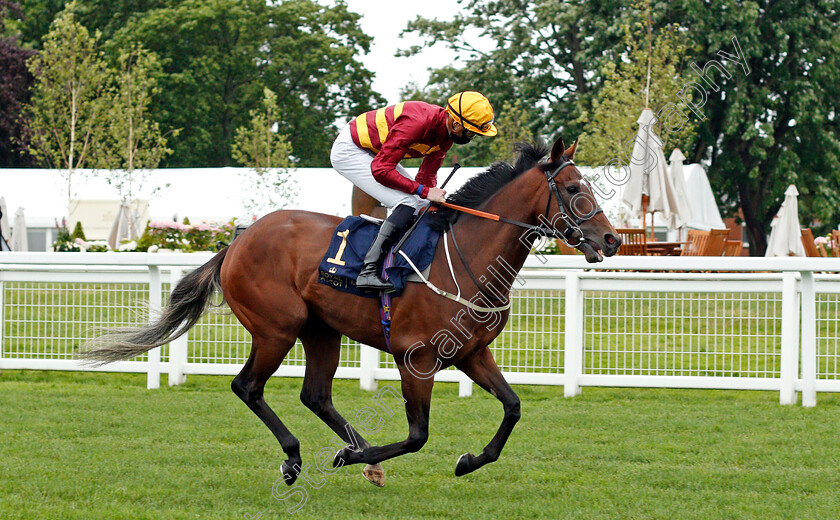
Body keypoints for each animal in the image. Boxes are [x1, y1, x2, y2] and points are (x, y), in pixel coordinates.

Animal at [82, 137, 620, 488]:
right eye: (575, 189)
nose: (612, 239)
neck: (466, 254)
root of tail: (237, 241)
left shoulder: (472, 354)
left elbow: (513, 407)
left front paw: (469, 460)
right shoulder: (415, 358)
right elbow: (418, 435)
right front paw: (348, 456)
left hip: (321, 330)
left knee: (316, 395)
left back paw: (363, 456)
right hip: (277, 328)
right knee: (247, 387)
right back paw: (299, 459)